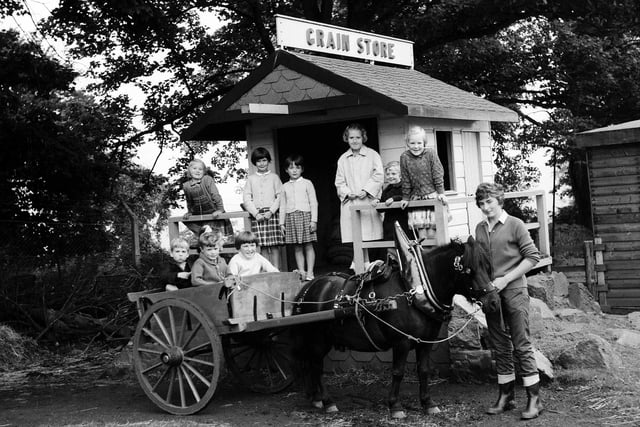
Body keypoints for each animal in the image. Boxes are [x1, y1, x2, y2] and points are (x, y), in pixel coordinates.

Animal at [292, 224, 502, 418]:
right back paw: (327, 401)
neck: (415, 291)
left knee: (310, 364)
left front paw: (428, 403)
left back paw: (316, 399)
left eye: (487, 267)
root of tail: (307, 289)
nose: (493, 302)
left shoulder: (426, 342)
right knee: (316, 366)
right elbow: (398, 372)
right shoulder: (401, 342)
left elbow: (423, 370)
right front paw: (395, 406)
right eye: (469, 270)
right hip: (318, 340)